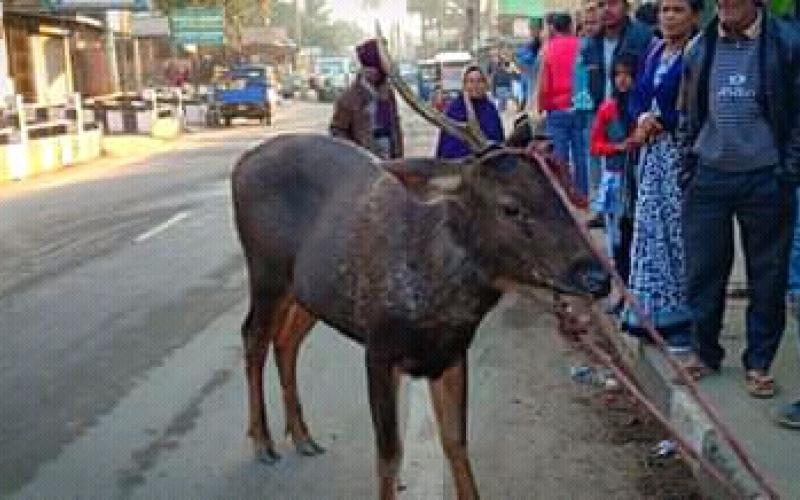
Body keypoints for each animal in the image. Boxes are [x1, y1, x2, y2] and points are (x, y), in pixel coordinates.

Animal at [231, 33, 612, 498]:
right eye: (510, 206)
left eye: (555, 191)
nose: (597, 276)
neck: (437, 305)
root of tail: (240, 164)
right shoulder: (378, 347)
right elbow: (389, 454)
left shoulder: (450, 354)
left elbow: (456, 444)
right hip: (264, 269)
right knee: (253, 336)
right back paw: (263, 441)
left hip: (308, 291)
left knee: (286, 341)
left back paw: (302, 436)